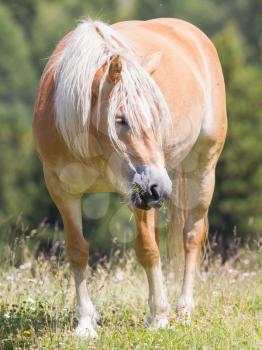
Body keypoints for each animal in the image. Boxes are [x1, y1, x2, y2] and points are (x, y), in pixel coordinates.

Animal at [32, 17, 227, 338]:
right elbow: (77, 251)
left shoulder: (140, 195)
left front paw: (159, 317)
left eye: (158, 116)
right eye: (120, 119)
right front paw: (86, 324)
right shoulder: (62, 191)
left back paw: (184, 310)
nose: (159, 188)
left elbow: (148, 249)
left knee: (191, 235)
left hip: (202, 167)